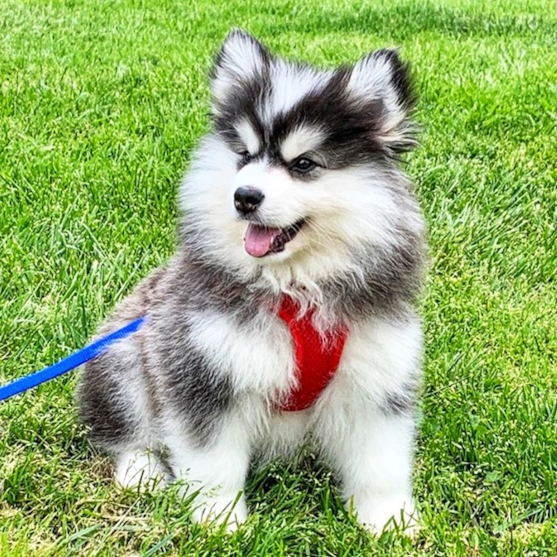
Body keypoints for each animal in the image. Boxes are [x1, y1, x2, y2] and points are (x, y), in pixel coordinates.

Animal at [77, 30, 426, 536]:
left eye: (304, 164)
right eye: (244, 155)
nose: (244, 196)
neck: (295, 289)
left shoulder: (378, 374)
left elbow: (380, 463)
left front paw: (390, 522)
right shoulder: (203, 368)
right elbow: (213, 462)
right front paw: (220, 520)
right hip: (122, 359)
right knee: (124, 433)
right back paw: (143, 472)